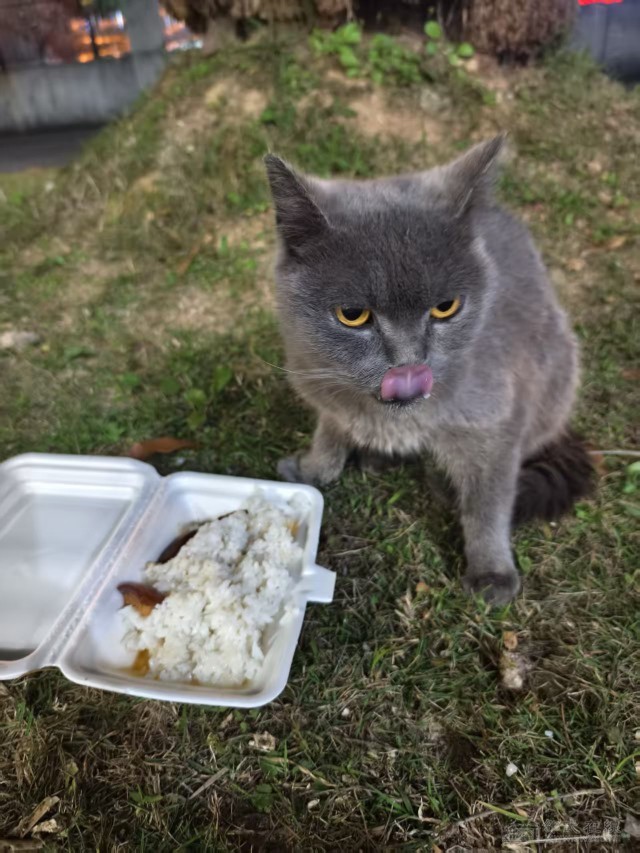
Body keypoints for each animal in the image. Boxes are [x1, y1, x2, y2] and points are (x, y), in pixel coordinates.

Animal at [264, 136, 593, 605]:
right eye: (352, 315)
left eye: (446, 307)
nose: (408, 364)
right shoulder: (322, 388)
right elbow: (329, 433)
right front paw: (312, 470)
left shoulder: (497, 421)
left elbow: (488, 500)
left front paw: (491, 572)